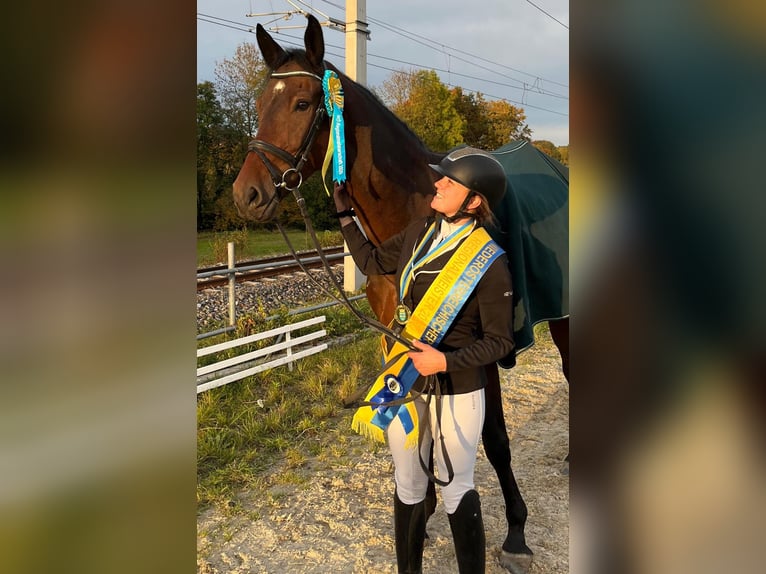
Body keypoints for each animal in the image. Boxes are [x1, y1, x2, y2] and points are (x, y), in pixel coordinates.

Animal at [232, 14, 568, 574]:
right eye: (259, 105)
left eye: (302, 103)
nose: (247, 194)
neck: (416, 210)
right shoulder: (399, 340)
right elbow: (417, 432)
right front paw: (424, 512)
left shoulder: (481, 349)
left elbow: (495, 440)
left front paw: (516, 531)